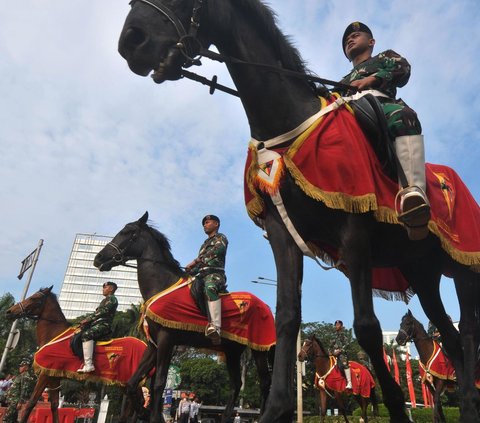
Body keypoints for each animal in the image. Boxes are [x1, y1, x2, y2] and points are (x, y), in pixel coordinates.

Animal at [94, 214, 274, 423]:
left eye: (128, 232)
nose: (98, 259)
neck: (162, 284)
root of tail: (267, 307)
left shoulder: (167, 339)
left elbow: (159, 383)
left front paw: (154, 417)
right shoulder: (154, 343)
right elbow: (132, 384)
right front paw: (142, 410)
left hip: (258, 349)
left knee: (265, 383)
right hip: (232, 351)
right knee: (236, 384)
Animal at [116, 1, 480, 422]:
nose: (131, 41)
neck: (286, 120)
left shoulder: (354, 230)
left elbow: (367, 327)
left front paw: (396, 406)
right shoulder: (282, 235)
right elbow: (288, 317)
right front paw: (275, 408)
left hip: (463, 265)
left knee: (465, 333)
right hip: (421, 271)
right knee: (450, 337)